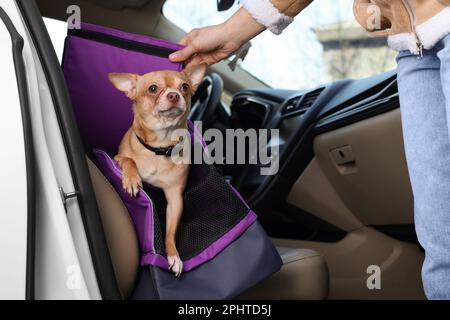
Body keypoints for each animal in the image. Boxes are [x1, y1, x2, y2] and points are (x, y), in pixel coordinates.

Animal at [109, 63, 207, 276]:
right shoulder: (116, 158)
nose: (174, 95)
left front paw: (173, 255)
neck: (159, 148)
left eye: (184, 87)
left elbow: (170, 233)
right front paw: (132, 180)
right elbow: (129, 160)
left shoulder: (175, 200)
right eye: (153, 89)